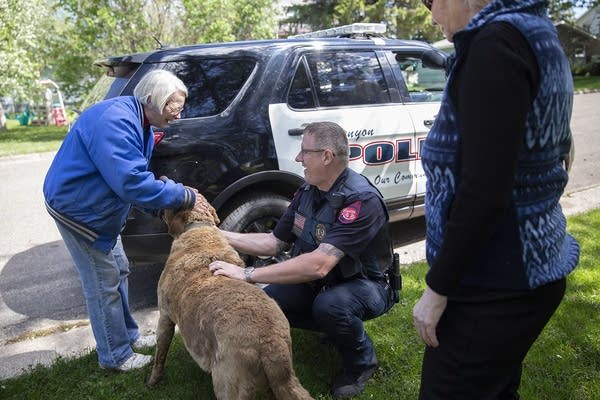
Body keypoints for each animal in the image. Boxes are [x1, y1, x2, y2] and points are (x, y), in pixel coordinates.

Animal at [147, 197, 312, 400]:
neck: (197, 229)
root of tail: (272, 342)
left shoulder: (164, 315)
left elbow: (160, 353)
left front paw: (153, 380)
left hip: (227, 383)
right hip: (278, 382)